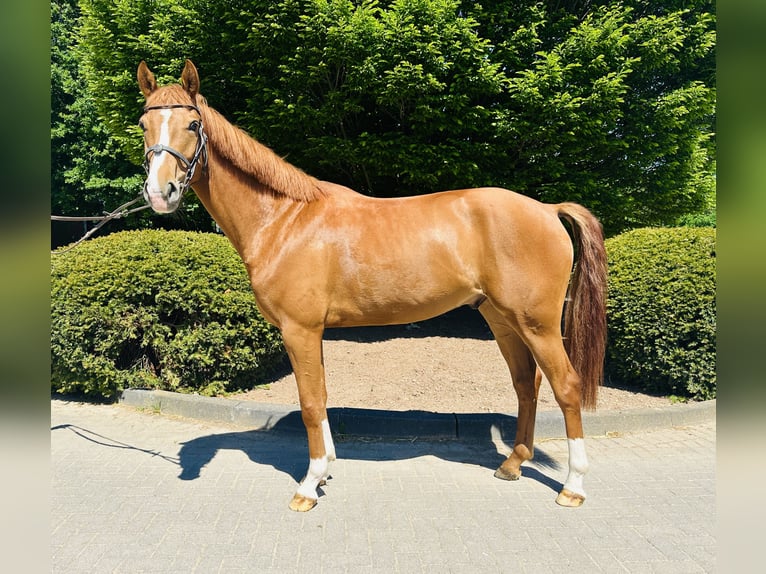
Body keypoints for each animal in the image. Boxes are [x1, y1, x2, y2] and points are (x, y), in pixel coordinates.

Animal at [137, 60, 607, 512]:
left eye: (192, 125)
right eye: (143, 124)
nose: (161, 193)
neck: (285, 220)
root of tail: (547, 209)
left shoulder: (300, 330)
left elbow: (310, 403)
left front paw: (308, 486)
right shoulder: (313, 333)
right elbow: (321, 396)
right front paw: (324, 471)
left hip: (538, 324)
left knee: (566, 386)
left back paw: (573, 487)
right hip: (502, 319)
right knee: (526, 384)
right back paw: (512, 464)